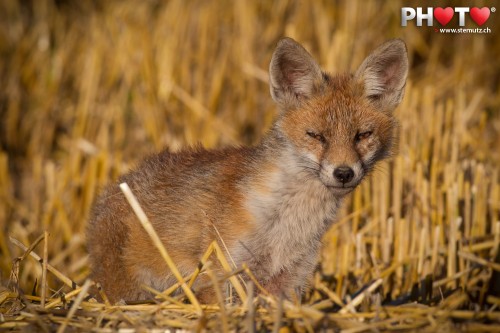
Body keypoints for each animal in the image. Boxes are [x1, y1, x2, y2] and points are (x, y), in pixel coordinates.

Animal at [87, 37, 406, 302]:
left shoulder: (288, 280)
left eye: (362, 135)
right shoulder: (223, 272)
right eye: (316, 136)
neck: (288, 222)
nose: (343, 173)